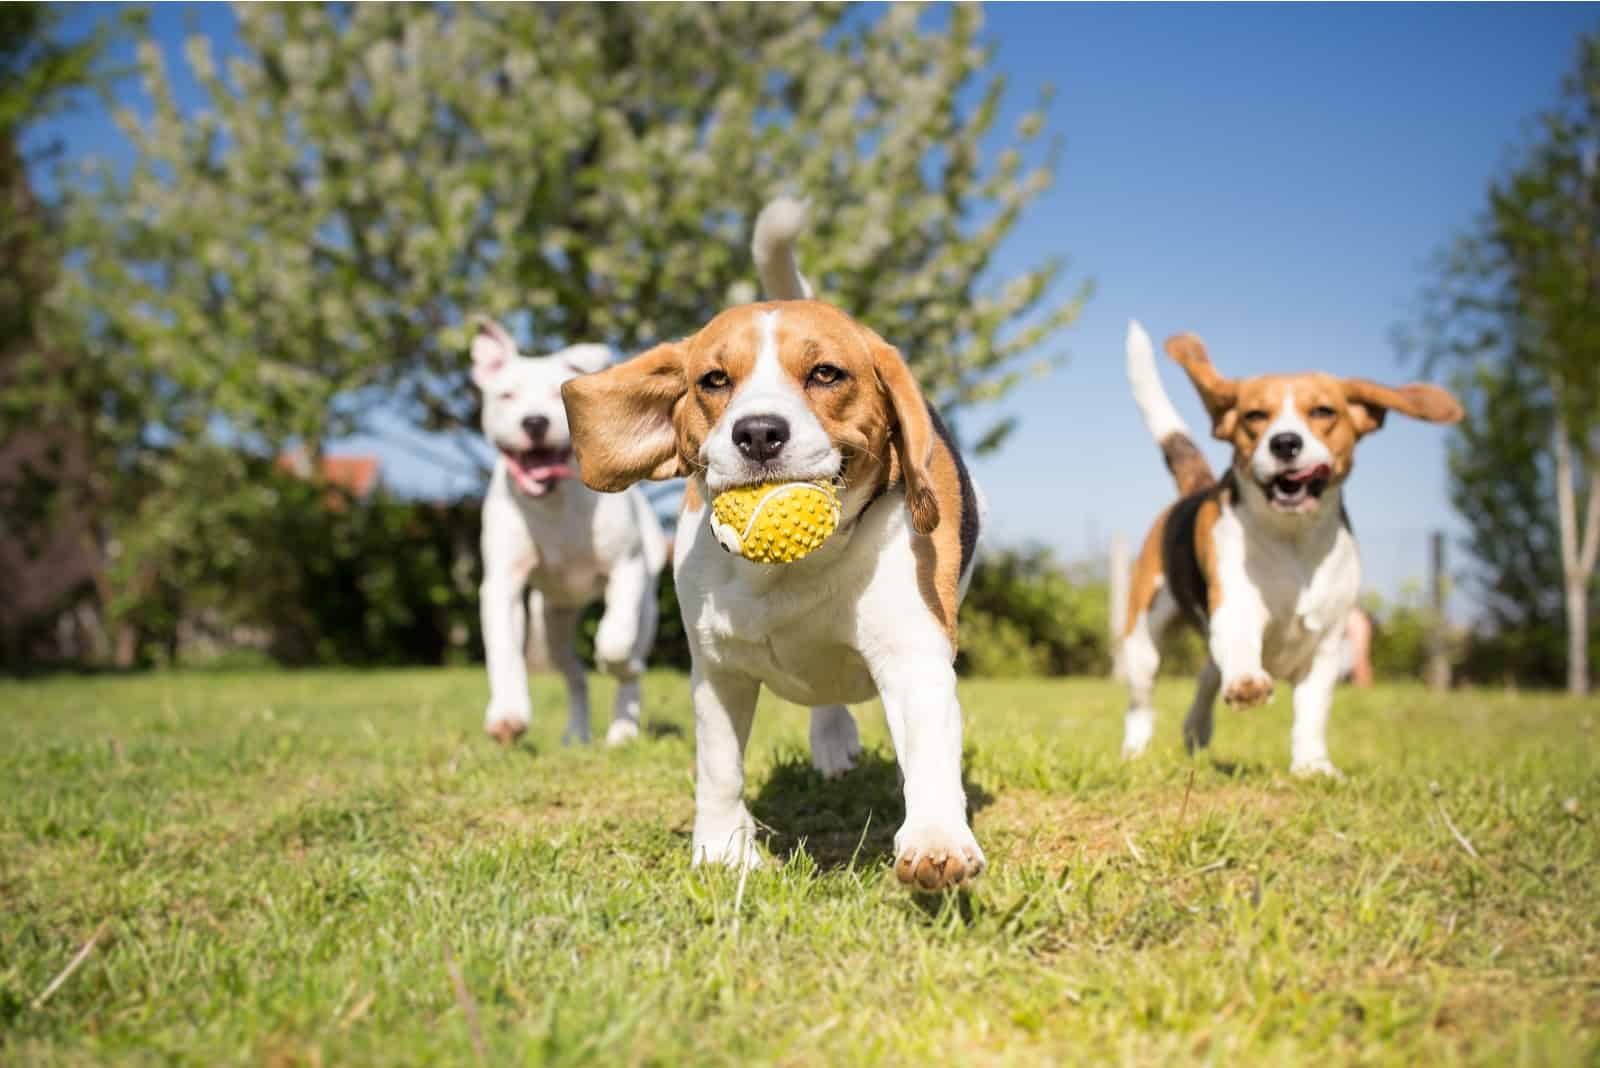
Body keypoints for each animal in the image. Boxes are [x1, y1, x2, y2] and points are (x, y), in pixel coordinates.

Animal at [467, 316, 665, 748]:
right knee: (574, 676)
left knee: (629, 662)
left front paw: (615, 660)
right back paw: (576, 733)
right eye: (506, 395)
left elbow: (615, 640)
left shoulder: (626, 568)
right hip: (552, 623)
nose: (535, 421)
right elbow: (504, 650)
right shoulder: (502, 584)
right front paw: (508, 715)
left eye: (556, 397)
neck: (553, 502)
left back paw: (623, 729)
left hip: (647, 607)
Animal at [563, 204, 985, 888]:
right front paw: (721, 851)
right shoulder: (718, 671)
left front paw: (936, 839)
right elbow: (719, 769)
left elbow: (927, 753)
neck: (788, 573)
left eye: (825, 374)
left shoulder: (913, 655)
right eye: (713, 380)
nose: (758, 432)